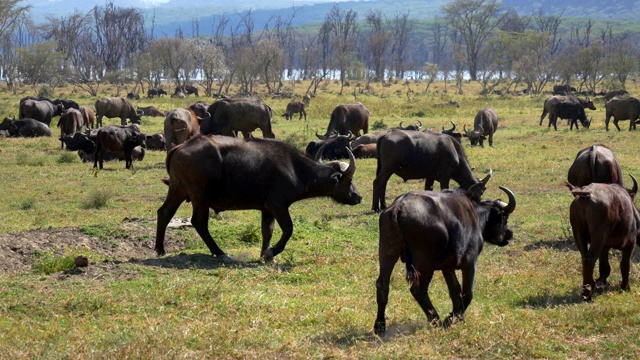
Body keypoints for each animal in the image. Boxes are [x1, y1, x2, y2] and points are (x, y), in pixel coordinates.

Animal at [155, 135, 362, 262]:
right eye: (349, 179)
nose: (358, 196)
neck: (295, 168)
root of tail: (182, 146)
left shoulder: (267, 210)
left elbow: (267, 231)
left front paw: (265, 256)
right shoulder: (278, 206)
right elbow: (288, 229)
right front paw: (271, 253)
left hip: (177, 189)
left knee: (164, 212)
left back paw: (160, 249)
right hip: (200, 198)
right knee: (199, 222)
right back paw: (219, 252)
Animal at [376, 180, 516, 334]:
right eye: (505, 218)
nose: (509, 234)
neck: (476, 215)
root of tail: (398, 208)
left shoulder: (448, 267)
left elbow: (455, 290)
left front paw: (454, 315)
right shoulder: (470, 262)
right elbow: (467, 292)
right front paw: (453, 318)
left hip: (387, 253)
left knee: (382, 285)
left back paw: (380, 326)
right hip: (424, 265)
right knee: (418, 290)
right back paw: (435, 319)